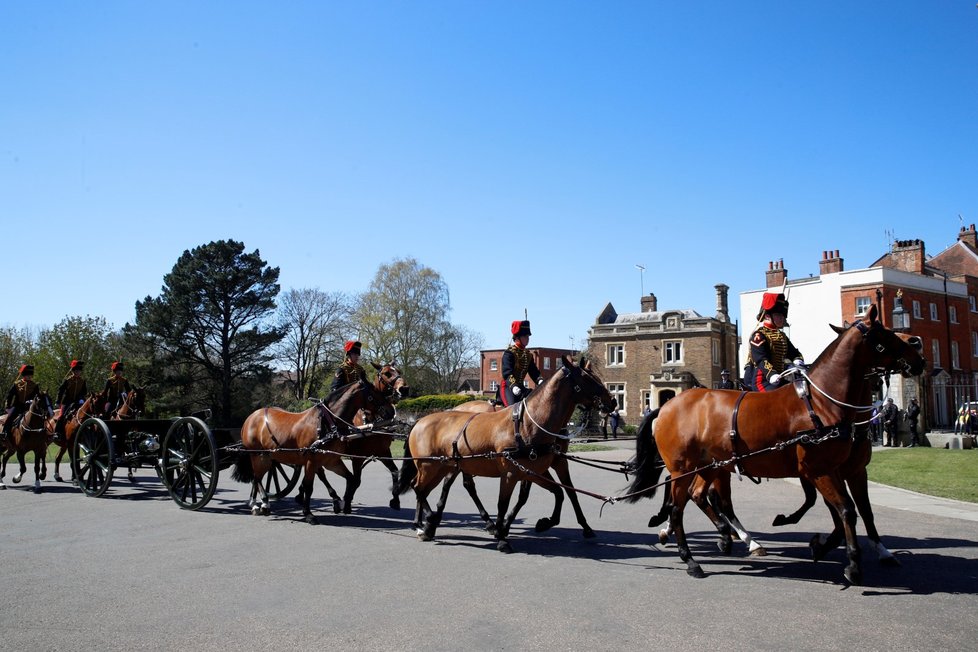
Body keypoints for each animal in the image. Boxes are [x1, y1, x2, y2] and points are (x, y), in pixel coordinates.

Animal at [231, 380, 394, 524]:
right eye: (374, 393)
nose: (392, 411)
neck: (327, 423)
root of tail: (252, 417)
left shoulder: (331, 460)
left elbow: (351, 479)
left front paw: (341, 502)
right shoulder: (311, 461)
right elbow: (309, 487)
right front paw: (308, 513)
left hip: (268, 457)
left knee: (256, 477)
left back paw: (258, 503)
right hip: (258, 455)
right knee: (257, 477)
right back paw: (260, 503)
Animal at [394, 360, 608, 552]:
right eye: (587, 378)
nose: (611, 401)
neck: (529, 423)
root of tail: (420, 421)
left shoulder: (534, 471)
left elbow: (558, 492)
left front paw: (543, 523)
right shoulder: (512, 474)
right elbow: (504, 503)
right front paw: (502, 535)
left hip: (445, 467)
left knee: (431, 488)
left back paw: (430, 524)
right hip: (429, 467)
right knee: (419, 487)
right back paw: (429, 521)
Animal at [624, 306, 924, 584]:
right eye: (884, 334)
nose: (918, 350)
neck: (822, 402)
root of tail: (667, 405)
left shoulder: (844, 470)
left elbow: (855, 511)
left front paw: (846, 549)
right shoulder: (820, 469)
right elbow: (846, 511)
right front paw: (851, 563)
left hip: (709, 466)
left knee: (697, 497)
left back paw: (723, 537)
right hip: (685, 469)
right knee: (680, 509)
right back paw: (694, 557)